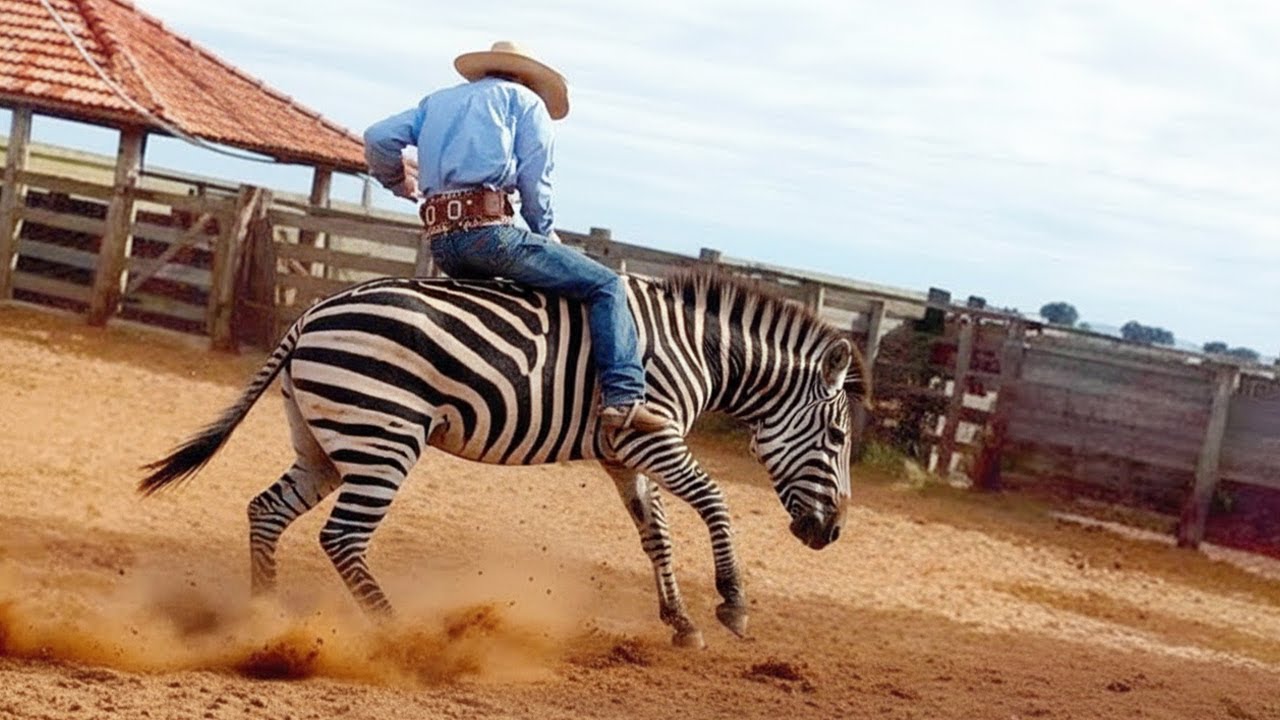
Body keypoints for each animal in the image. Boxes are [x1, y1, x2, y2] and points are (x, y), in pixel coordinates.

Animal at [140, 270, 869, 648]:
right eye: (837, 438)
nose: (832, 533)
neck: (701, 350)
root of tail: (312, 312)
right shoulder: (647, 435)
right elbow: (715, 502)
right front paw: (733, 604)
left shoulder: (623, 453)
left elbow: (656, 536)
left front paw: (681, 622)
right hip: (384, 438)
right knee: (342, 537)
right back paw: (403, 636)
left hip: (326, 443)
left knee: (267, 511)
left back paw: (262, 622)